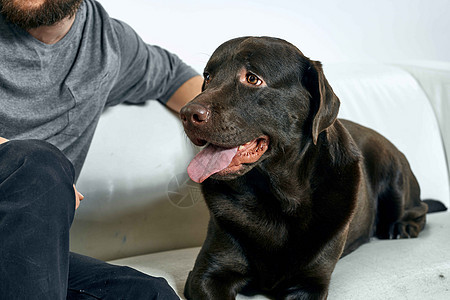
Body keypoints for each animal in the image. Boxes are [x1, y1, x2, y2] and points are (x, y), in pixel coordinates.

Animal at [179, 37, 446, 300]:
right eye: (207, 77)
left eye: (252, 78)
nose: (187, 113)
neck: (278, 198)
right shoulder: (207, 275)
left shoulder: (309, 284)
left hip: (394, 175)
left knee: (418, 209)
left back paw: (403, 227)